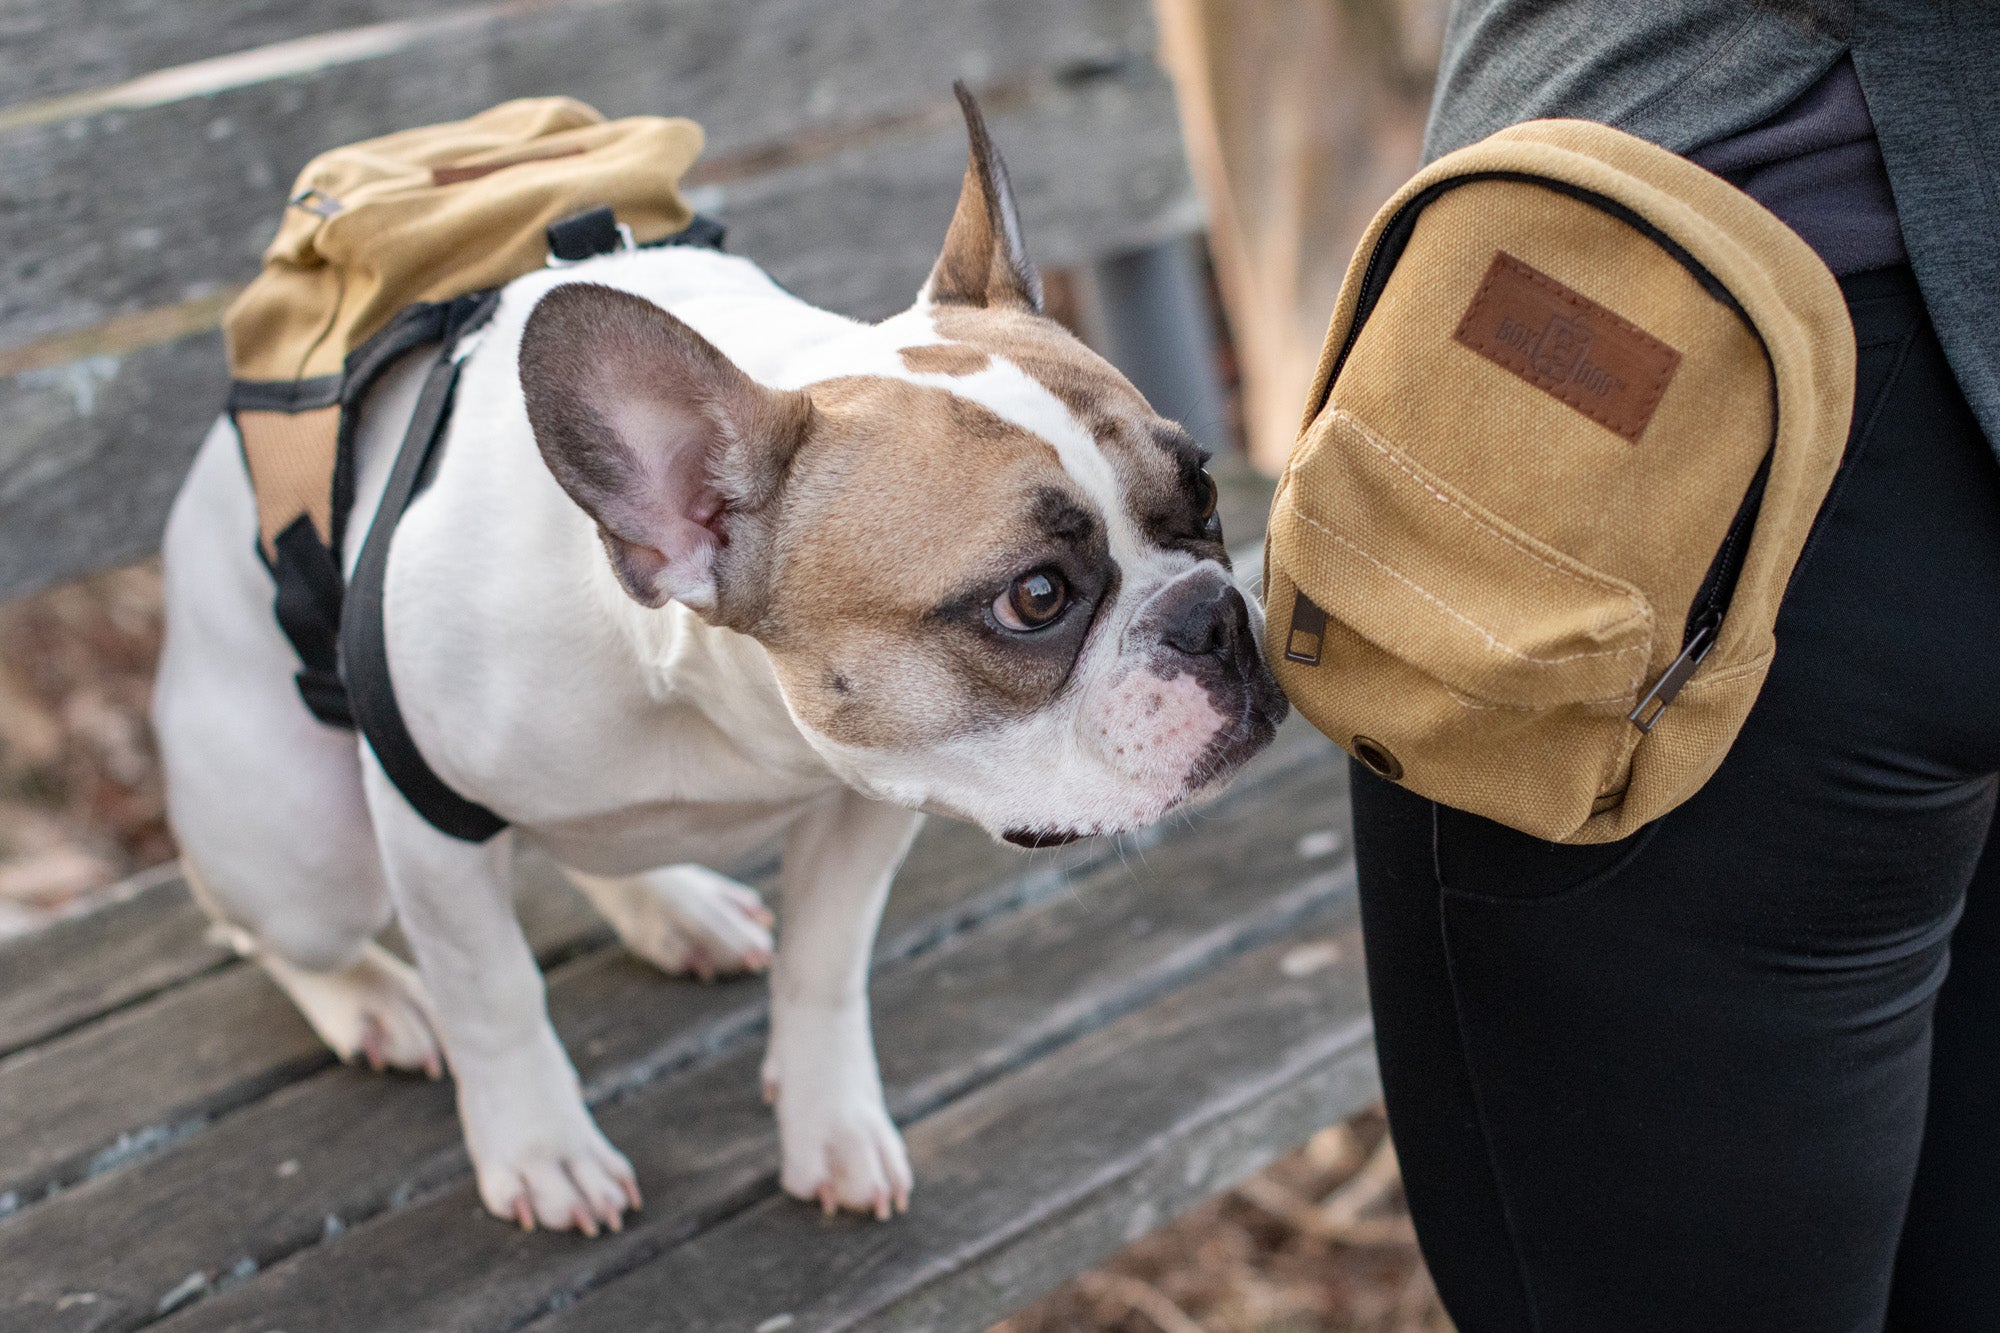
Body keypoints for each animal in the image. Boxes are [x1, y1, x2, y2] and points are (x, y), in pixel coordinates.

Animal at [152, 93, 1280, 1232]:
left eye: (1202, 495)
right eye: (1035, 597)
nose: (1216, 617)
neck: (705, 700)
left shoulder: (874, 792)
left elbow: (825, 966)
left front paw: (830, 1123)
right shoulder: (431, 822)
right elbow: (494, 991)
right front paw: (541, 1147)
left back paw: (671, 908)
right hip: (303, 858)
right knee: (266, 924)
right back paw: (371, 1000)